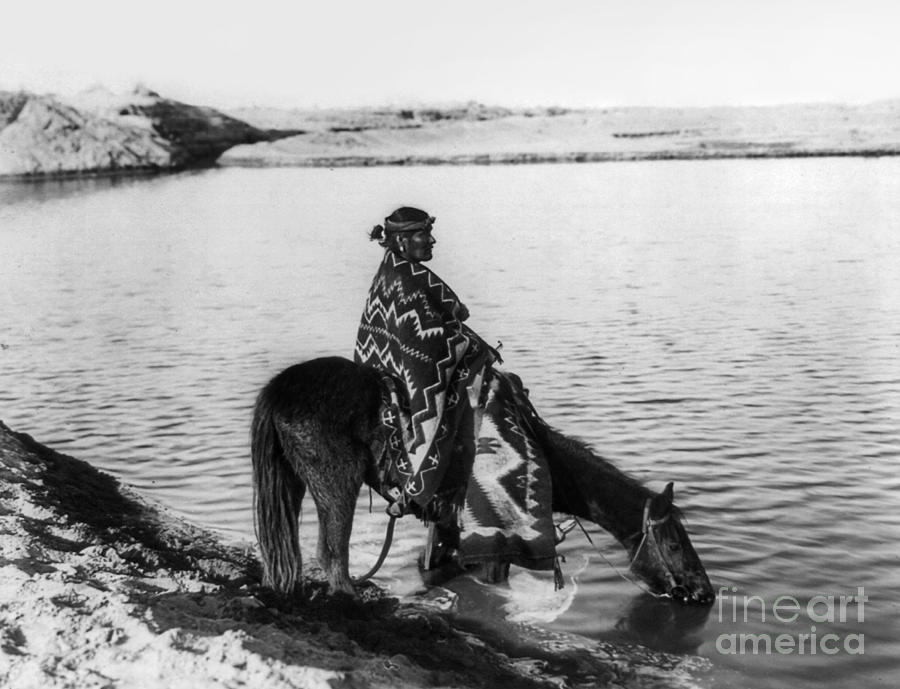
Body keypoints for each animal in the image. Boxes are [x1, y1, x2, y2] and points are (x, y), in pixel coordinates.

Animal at [250, 358, 712, 604]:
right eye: (674, 544)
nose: (705, 592)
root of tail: (278, 390)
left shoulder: (446, 526)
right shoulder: (497, 541)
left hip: (294, 484)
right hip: (336, 485)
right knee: (332, 553)